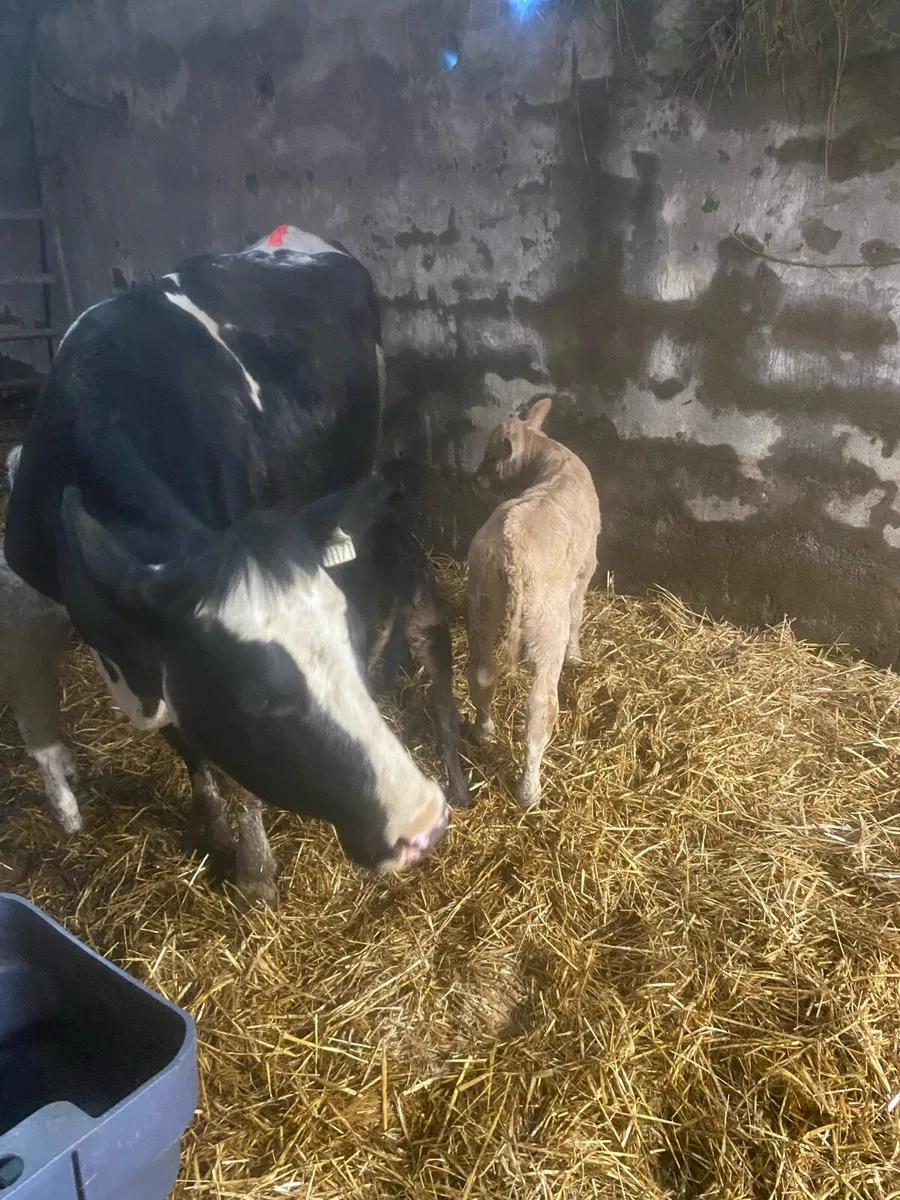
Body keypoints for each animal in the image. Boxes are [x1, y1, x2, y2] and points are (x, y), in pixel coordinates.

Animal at [4, 225, 469, 907]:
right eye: (258, 701)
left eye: (349, 645)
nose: (423, 824)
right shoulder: (132, 636)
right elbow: (187, 742)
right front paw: (213, 825)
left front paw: (253, 870)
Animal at [466, 396, 601, 809]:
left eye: (491, 457)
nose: (474, 479)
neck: (551, 463)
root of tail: (511, 551)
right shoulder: (586, 566)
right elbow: (578, 613)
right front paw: (577, 656)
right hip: (545, 625)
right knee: (540, 709)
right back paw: (529, 791)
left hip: (480, 603)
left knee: (482, 675)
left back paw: (484, 732)